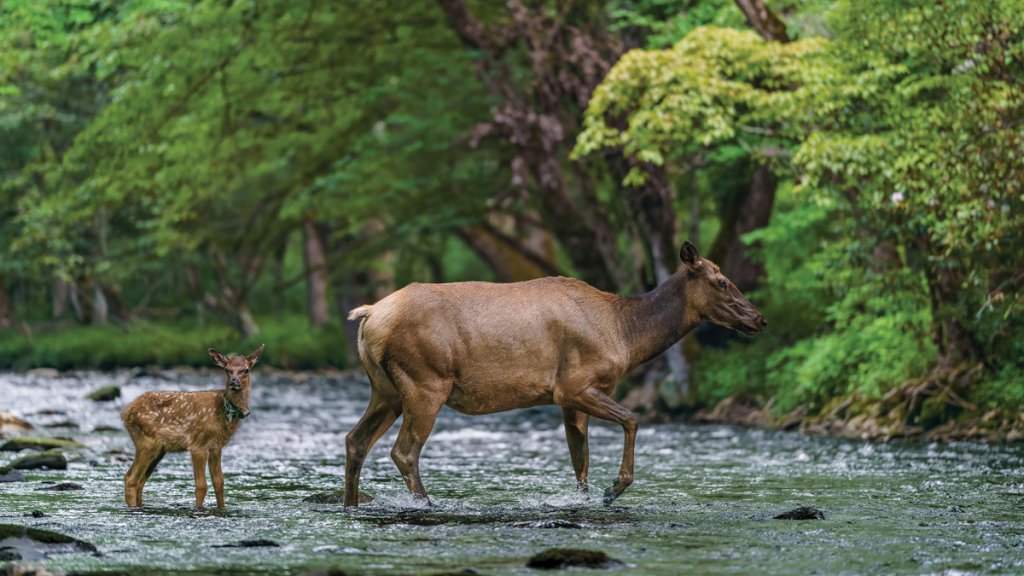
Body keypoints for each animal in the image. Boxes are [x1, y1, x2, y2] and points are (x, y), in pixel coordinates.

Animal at [344, 239, 761, 504]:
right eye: (721, 281)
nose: (759, 318)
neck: (624, 337)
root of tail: (368, 315)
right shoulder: (574, 385)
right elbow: (632, 419)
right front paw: (615, 488)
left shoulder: (569, 399)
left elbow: (580, 458)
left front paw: (588, 498)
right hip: (426, 381)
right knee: (404, 451)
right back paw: (426, 504)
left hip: (386, 389)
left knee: (355, 440)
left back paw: (352, 506)